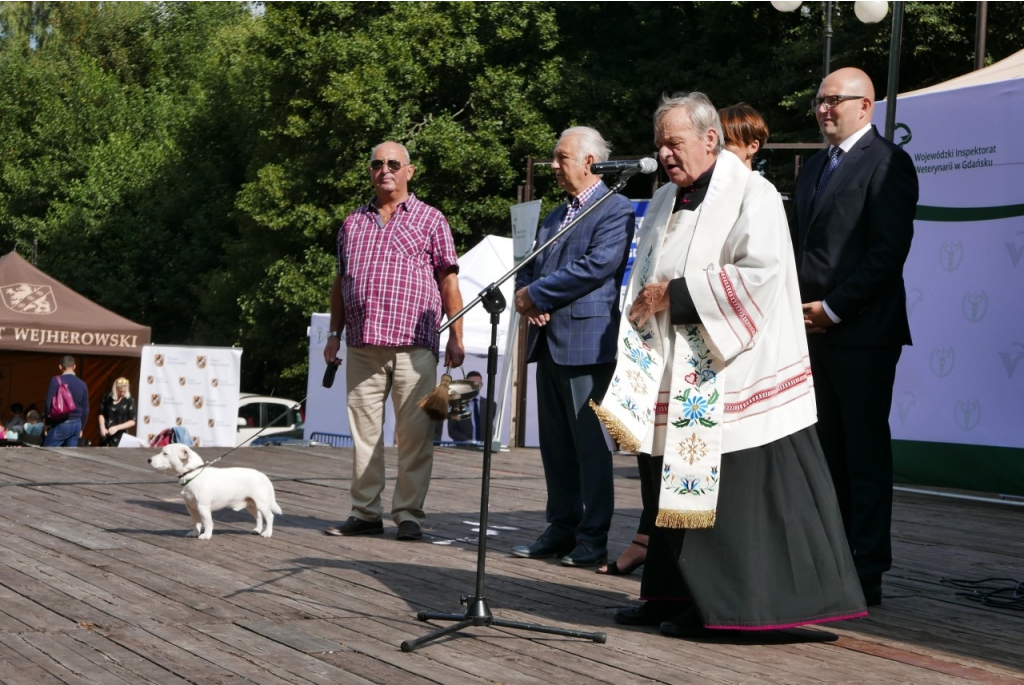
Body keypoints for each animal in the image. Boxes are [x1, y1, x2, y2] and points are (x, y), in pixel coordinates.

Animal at [146, 444, 282, 540]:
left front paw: (206, 535)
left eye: (165, 454)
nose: (148, 460)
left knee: (269, 516)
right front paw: (195, 533)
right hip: (251, 505)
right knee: (258, 516)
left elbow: (207, 523)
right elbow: (196, 522)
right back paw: (257, 530)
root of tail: (263, 475)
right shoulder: (191, 507)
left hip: (262, 503)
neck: (193, 474)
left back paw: (267, 532)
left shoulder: (203, 507)